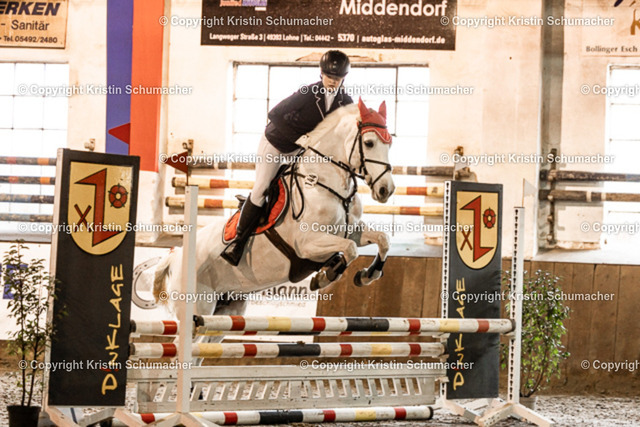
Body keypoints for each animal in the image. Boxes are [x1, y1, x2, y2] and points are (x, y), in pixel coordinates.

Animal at [133, 98, 395, 321]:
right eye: (369, 143)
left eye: (389, 143)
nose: (386, 190)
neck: (324, 182)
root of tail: (174, 257)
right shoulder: (307, 243)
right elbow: (349, 250)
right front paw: (324, 277)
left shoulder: (350, 231)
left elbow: (382, 240)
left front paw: (367, 275)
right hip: (199, 308)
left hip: (229, 307)